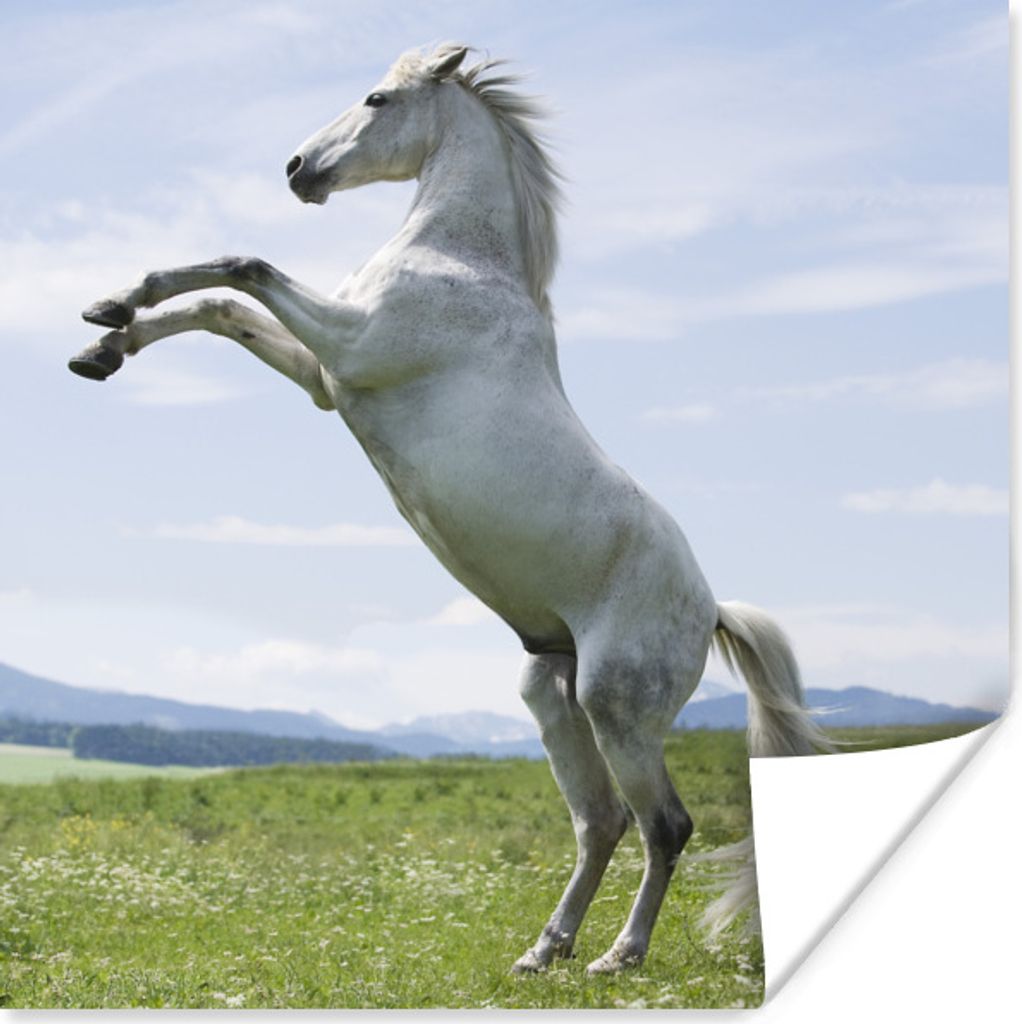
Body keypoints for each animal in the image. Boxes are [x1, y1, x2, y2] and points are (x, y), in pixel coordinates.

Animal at [68, 43, 829, 975]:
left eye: (376, 98)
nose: (297, 169)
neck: (461, 260)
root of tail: (712, 607)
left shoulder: (350, 342)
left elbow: (242, 270)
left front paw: (111, 313)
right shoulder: (326, 377)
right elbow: (220, 308)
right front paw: (103, 337)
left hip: (617, 708)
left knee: (665, 825)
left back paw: (620, 954)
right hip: (554, 695)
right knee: (601, 821)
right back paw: (544, 951)